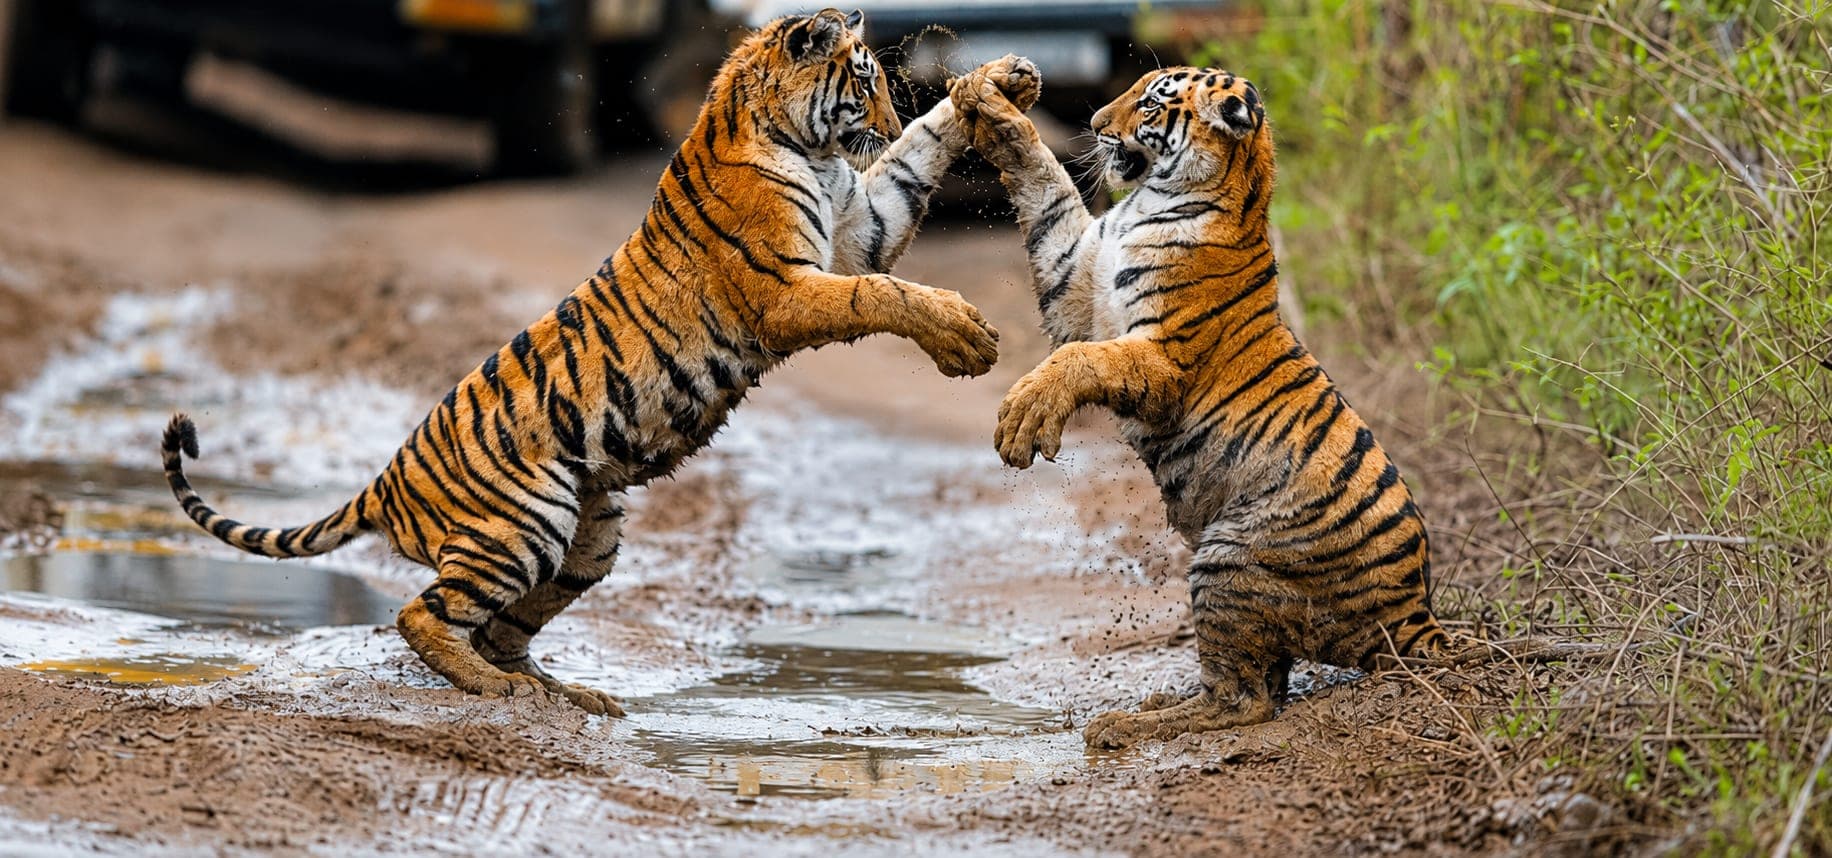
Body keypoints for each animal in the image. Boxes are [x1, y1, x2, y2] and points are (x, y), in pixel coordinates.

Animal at [160, 10, 1039, 716]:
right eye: (865, 83)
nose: (888, 115)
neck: (806, 148)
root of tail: (386, 480)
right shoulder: (788, 288)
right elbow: (882, 292)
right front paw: (965, 335)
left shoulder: (864, 225)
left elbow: (913, 165)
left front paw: (996, 82)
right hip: (524, 520)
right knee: (420, 616)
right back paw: (501, 692)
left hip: (591, 536)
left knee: (501, 630)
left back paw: (566, 693)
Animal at [950, 64, 1460, 749]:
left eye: (1147, 105)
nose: (1094, 123)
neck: (1150, 201)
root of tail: (1416, 610)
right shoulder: (1075, 283)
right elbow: (1048, 190)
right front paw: (994, 107)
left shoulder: (1159, 358)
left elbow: (1079, 360)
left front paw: (1023, 417)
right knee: (1263, 682)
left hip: (1226, 562)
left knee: (1246, 700)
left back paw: (1123, 724)